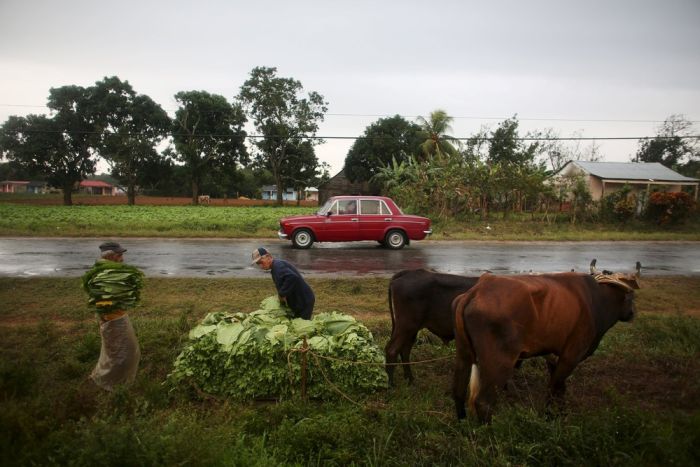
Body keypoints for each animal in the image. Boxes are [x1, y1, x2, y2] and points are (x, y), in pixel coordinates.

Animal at [454, 264, 640, 424]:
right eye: (631, 296)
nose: (632, 313)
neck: (597, 300)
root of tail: (477, 291)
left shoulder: (553, 355)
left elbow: (559, 387)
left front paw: (560, 411)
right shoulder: (571, 356)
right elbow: (553, 388)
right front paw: (549, 416)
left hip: (464, 354)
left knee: (458, 392)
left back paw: (462, 424)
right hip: (499, 362)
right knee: (483, 402)